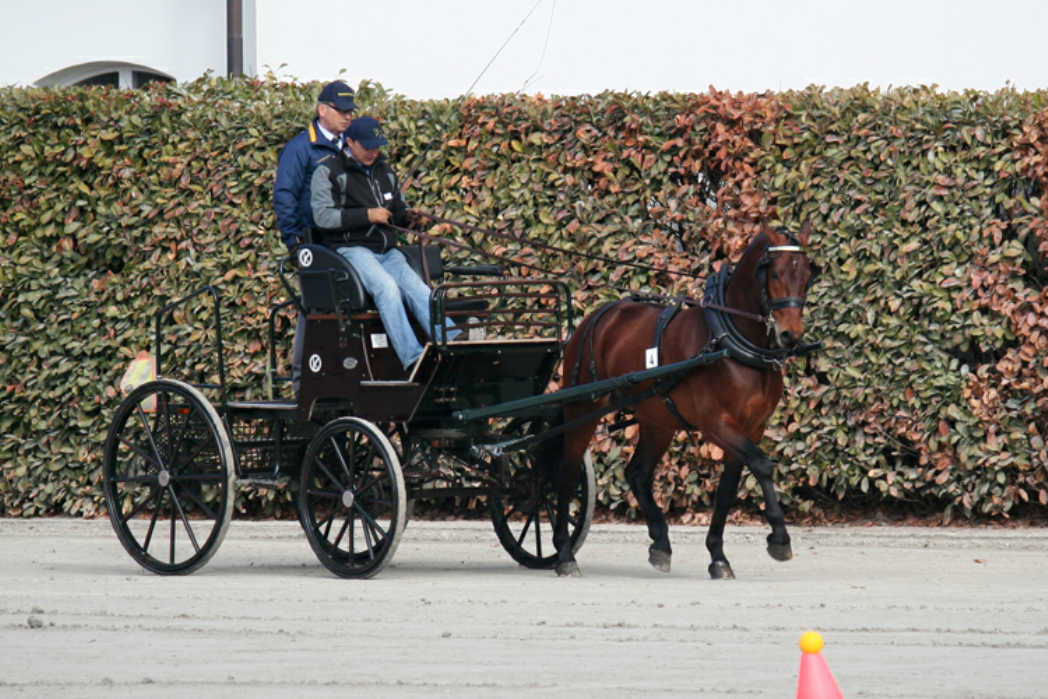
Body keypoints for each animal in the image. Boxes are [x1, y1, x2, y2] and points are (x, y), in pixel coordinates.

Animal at [544, 224, 821, 578]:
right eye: (773, 272)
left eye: (807, 275)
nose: (791, 335)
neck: (730, 343)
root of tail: (598, 316)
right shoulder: (717, 424)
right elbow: (762, 465)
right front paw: (780, 538)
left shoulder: (752, 428)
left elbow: (727, 490)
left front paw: (718, 556)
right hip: (584, 408)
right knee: (566, 474)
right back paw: (565, 553)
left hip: (657, 419)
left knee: (637, 473)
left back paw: (660, 543)